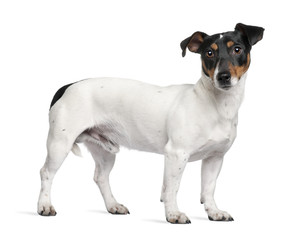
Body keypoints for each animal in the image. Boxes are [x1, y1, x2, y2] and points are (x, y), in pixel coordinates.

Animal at [38, 22, 264, 223]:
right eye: (209, 53)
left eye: (237, 49)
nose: (223, 76)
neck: (215, 104)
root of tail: (67, 86)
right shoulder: (176, 154)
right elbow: (172, 188)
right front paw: (173, 214)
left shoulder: (215, 158)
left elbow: (208, 189)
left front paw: (214, 212)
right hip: (60, 144)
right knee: (46, 173)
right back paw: (45, 206)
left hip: (104, 151)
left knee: (100, 177)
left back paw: (113, 205)